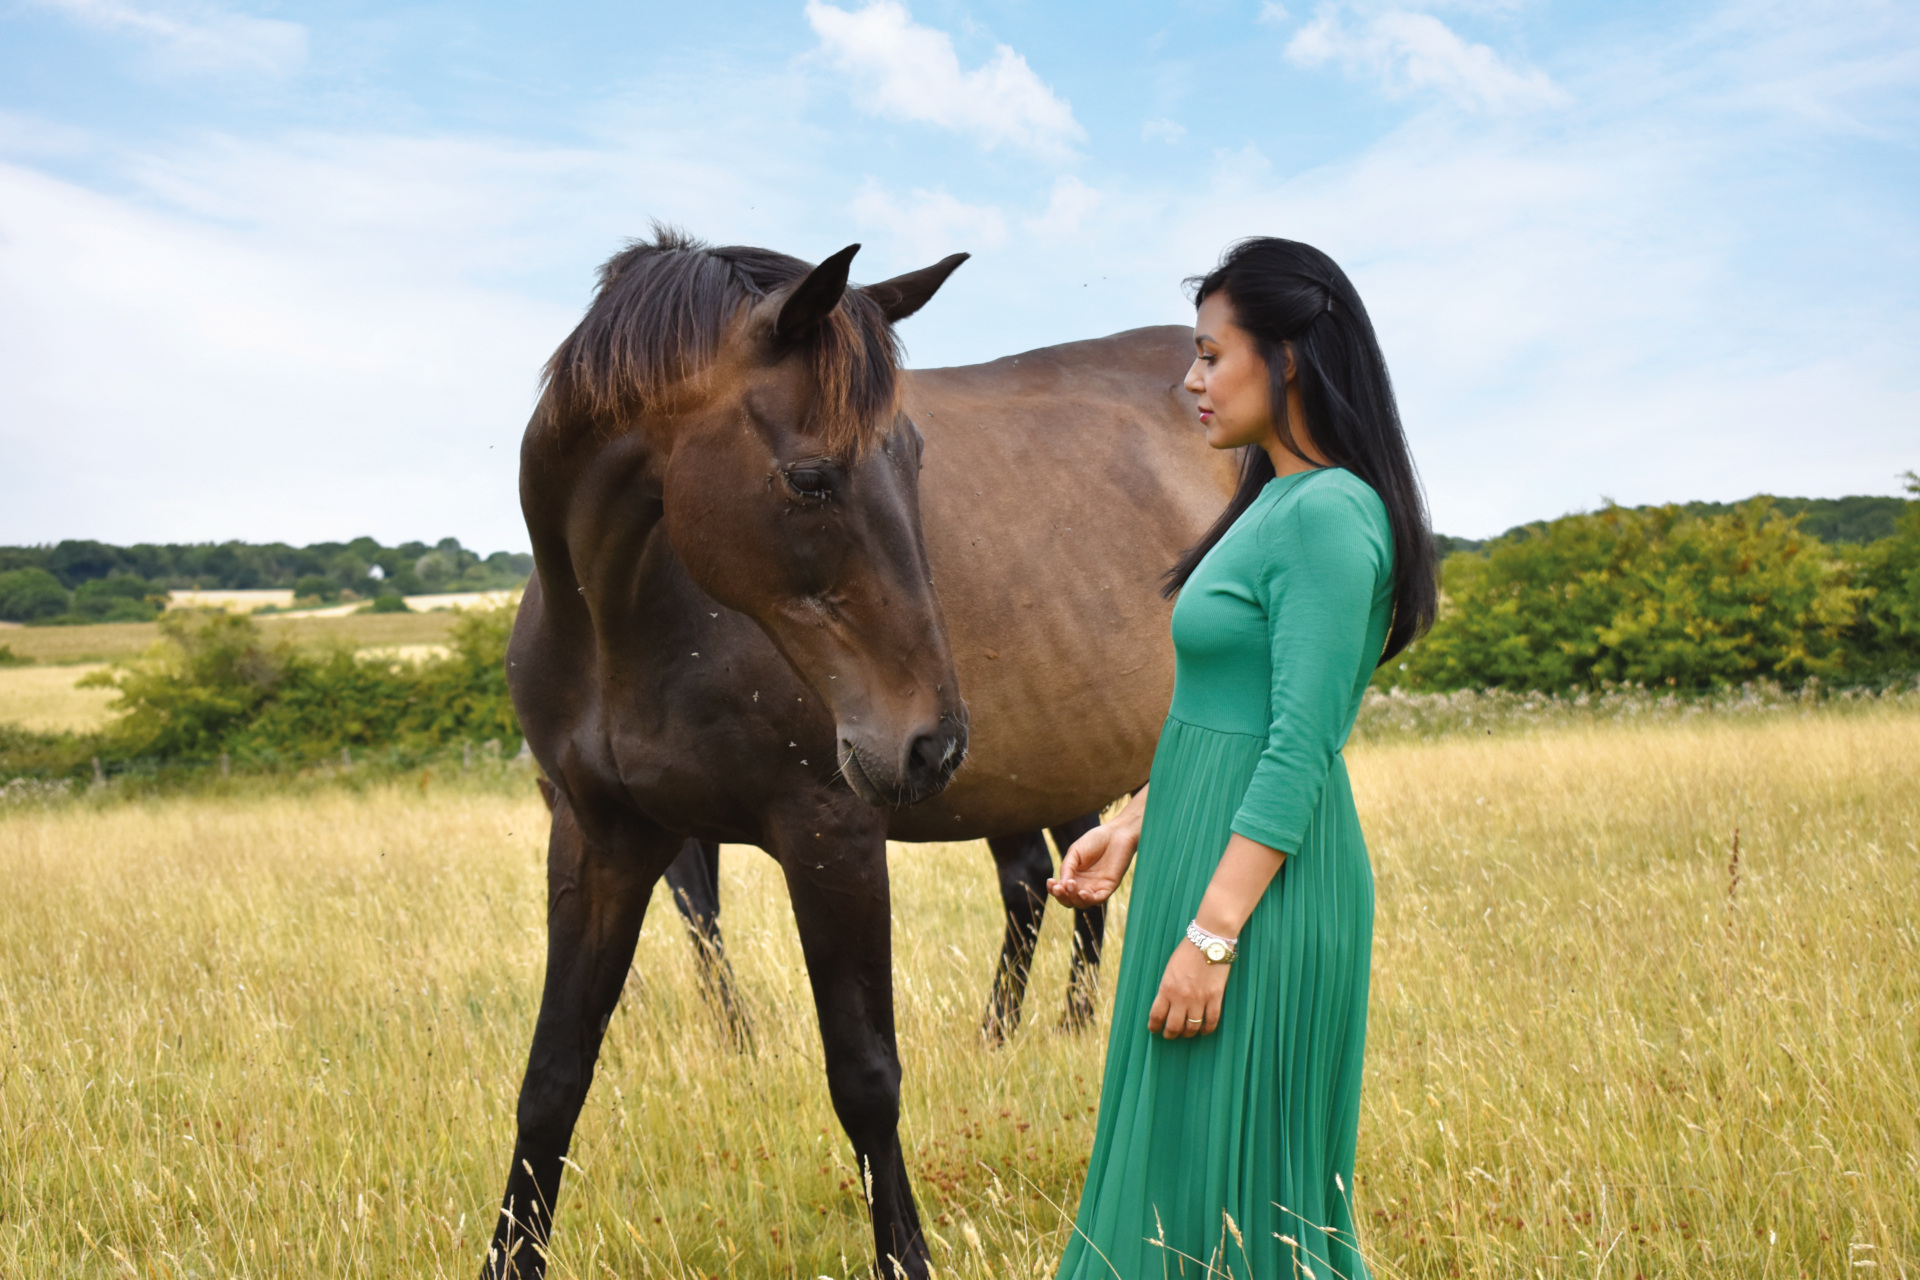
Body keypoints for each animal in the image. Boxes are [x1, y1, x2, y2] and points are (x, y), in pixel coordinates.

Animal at [480, 233, 1228, 1280]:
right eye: (809, 478)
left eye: (914, 459)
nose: (932, 741)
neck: (620, 619)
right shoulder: (600, 840)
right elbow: (553, 1078)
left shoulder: (830, 831)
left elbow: (866, 1075)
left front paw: (906, 1256)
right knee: (1053, 887)